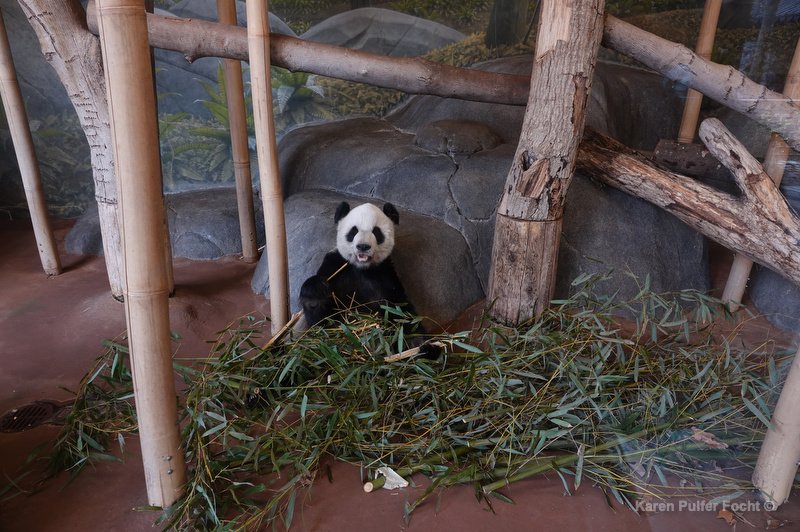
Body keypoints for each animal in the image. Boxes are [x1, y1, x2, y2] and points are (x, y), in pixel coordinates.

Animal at [300, 200, 440, 358]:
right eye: (353, 231)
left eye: (376, 232)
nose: (363, 246)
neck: (362, 268)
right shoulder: (335, 266)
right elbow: (323, 323)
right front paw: (314, 294)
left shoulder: (385, 275)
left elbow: (401, 311)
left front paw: (417, 343)